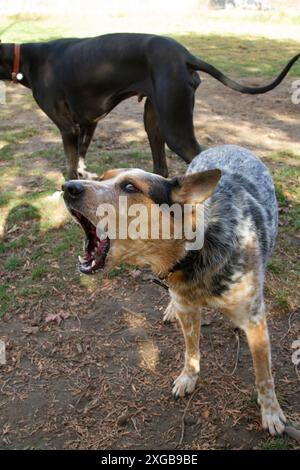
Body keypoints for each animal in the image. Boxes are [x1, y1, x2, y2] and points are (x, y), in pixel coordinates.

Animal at [1, 32, 298, 177]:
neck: (27, 58)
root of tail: (185, 55)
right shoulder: (87, 123)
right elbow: (81, 158)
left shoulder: (67, 128)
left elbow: (70, 165)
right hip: (154, 123)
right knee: (161, 169)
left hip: (175, 130)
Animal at [62, 145, 286, 436]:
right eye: (102, 177)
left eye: (130, 187)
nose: (68, 186)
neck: (196, 252)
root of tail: (229, 146)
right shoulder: (188, 310)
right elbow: (191, 351)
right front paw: (188, 378)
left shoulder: (255, 321)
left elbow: (264, 376)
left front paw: (271, 412)